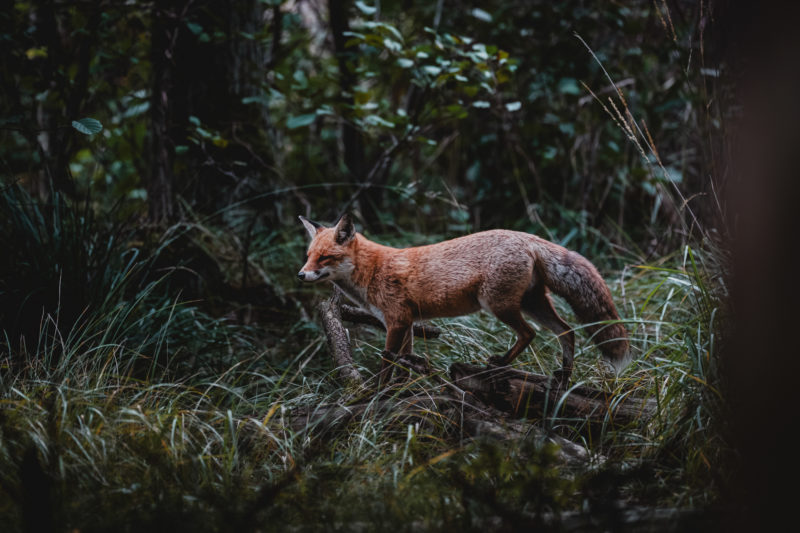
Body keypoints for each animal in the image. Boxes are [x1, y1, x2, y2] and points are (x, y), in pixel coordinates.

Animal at [298, 213, 632, 382]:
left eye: (325, 258)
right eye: (308, 256)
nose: (301, 275)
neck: (372, 271)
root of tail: (525, 236)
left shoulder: (397, 321)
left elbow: (387, 361)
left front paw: (376, 392)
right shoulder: (406, 323)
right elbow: (404, 359)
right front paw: (405, 385)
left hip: (498, 305)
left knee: (530, 334)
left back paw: (501, 363)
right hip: (532, 303)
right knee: (567, 331)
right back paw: (564, 375)